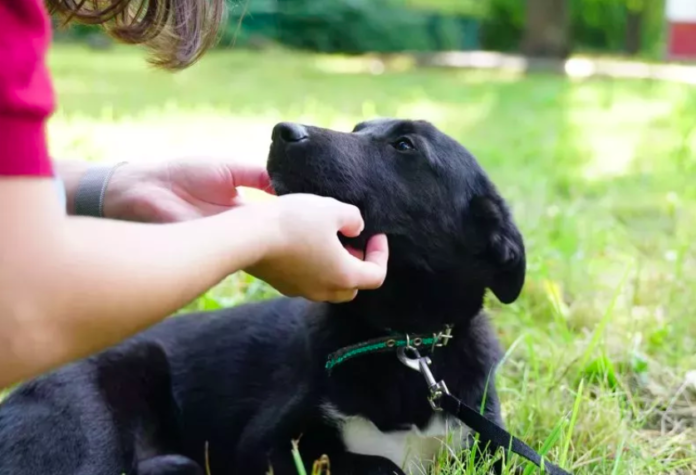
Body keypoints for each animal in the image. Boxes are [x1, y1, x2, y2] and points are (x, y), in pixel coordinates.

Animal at [0, 120, 520, 475]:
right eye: (358, 128)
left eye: (404, 146)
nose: (282, 131)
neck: (401, 342)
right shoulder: (265, 447)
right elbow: (379, 464)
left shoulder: (492, 447)